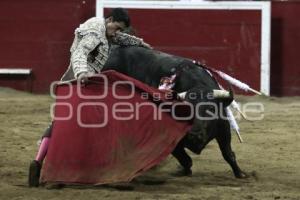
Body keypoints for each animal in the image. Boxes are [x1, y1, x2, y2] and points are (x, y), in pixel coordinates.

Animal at [102, 45, 247, 178]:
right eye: (185, 109)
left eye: (211, 109)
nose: (194, 135)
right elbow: (185, 159)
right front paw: (184, 171)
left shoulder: (223, 129)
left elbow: (228, 154)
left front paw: (240, 173)